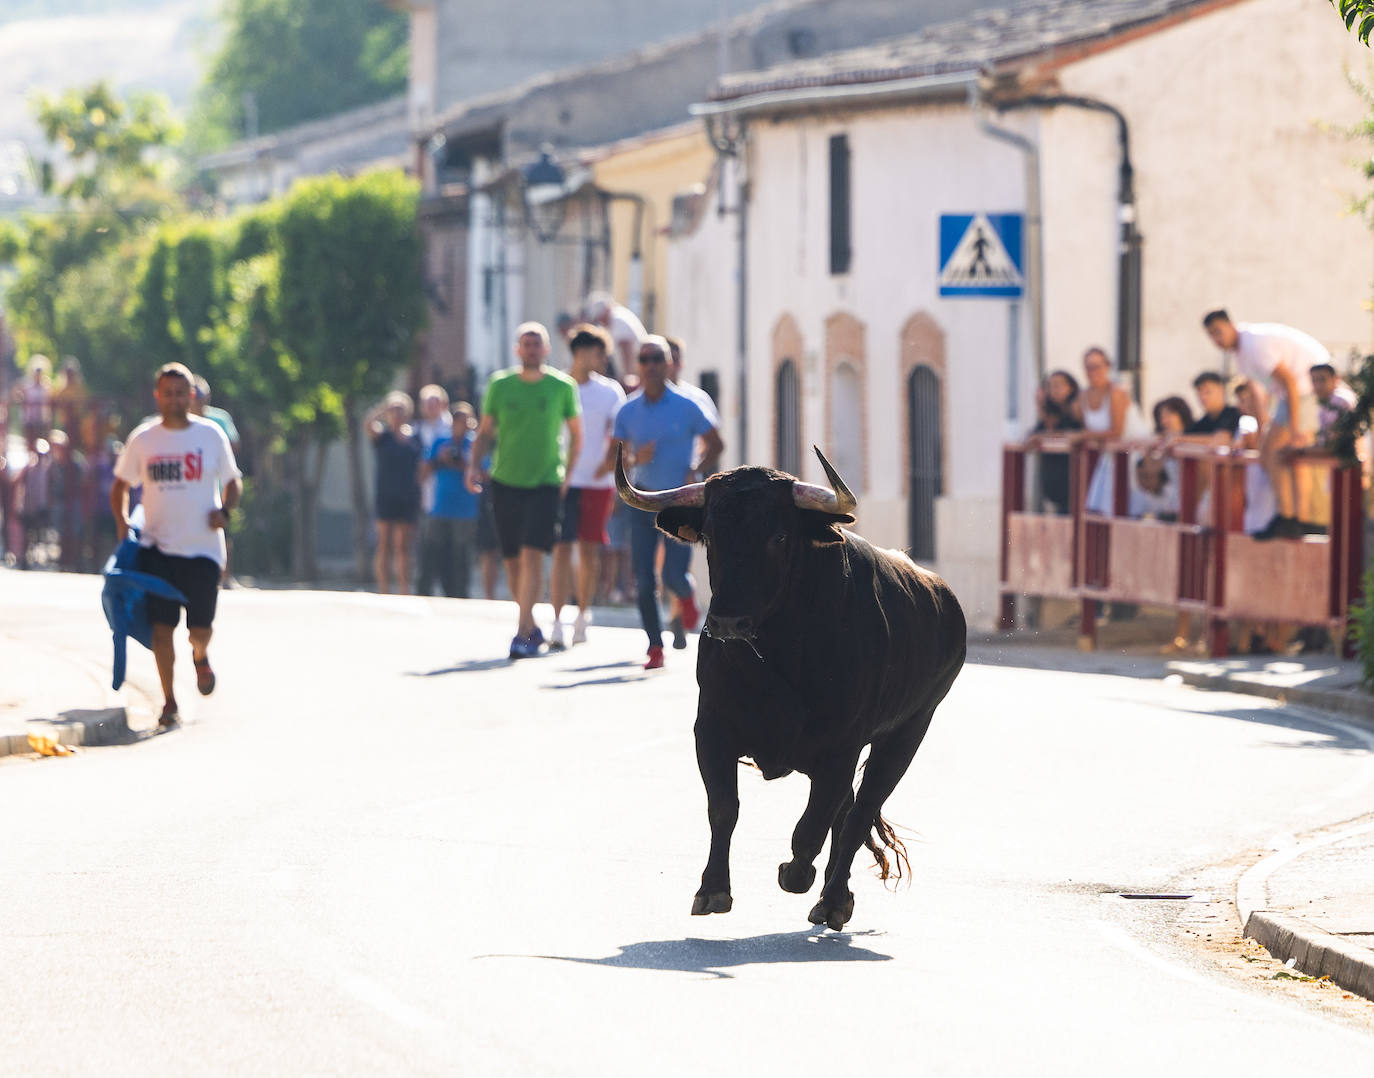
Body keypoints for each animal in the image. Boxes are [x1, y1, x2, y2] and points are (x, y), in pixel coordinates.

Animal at [618, 442, 972, 928]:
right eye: (711, 535)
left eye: (780, 536)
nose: (727, 622)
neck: (779, 655)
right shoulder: (711, 730)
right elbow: (724, 809)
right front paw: (712, 890)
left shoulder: (842, 747)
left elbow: (810, 829)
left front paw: (796, 874)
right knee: (847, 812)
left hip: (908, 733)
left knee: (858, 812)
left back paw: (832, 899)